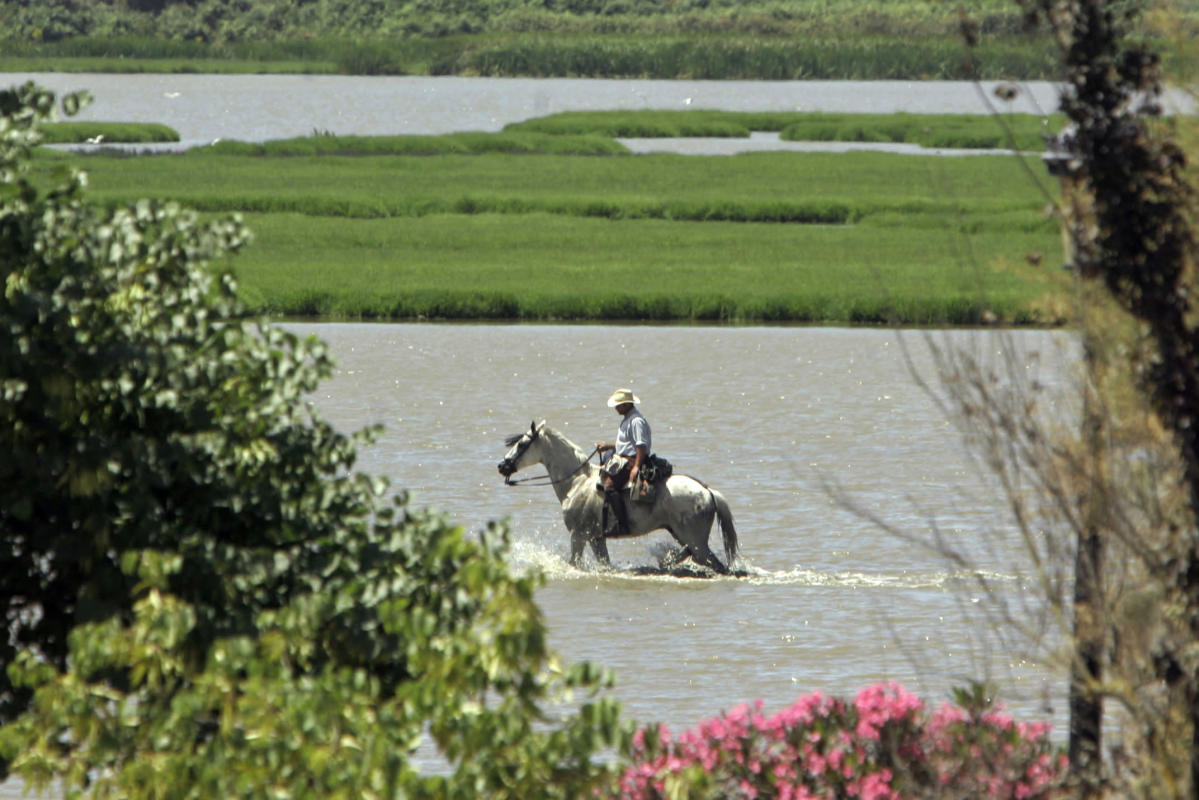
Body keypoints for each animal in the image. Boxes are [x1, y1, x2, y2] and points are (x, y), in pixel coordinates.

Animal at [498, 422, 738, 573]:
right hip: (682, 535)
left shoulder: (578, 535)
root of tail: (707, 491)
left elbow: (574, 563)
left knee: (714, 564)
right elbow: (605, 563)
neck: (577, 482)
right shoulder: (596, 538)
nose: (502, 465)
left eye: (522, 444)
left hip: (696, 541)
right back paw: (666, 561)